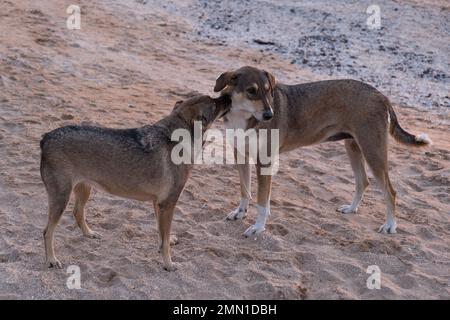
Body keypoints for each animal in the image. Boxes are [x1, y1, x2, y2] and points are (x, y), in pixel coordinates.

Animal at [40, 94, 232, 272]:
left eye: (215, 99)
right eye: (215, 104)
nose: (228, 96)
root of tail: (46, 137)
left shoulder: (158, 203)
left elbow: (162, 234)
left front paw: (166, 244)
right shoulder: (168, 204)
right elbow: (165, 242)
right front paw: (168, 264)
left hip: (84, 190)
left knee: (77, 213)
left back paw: (89, 234)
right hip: (61, 198)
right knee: (47, 231)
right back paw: (51, 260)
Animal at [214, 66, 432, 238]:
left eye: (268, 91)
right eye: (251, 91)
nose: (269, 115)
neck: (244, 116)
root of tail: (381, 95)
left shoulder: (265, 163)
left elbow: (261, 203)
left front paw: (258, 228)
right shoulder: (241, 156)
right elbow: (245, 191)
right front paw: (240, 213)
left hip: (373, 152)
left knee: (390, 191)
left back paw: (390, 225)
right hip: (354, 147)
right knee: (363, 181)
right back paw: (351, 209)